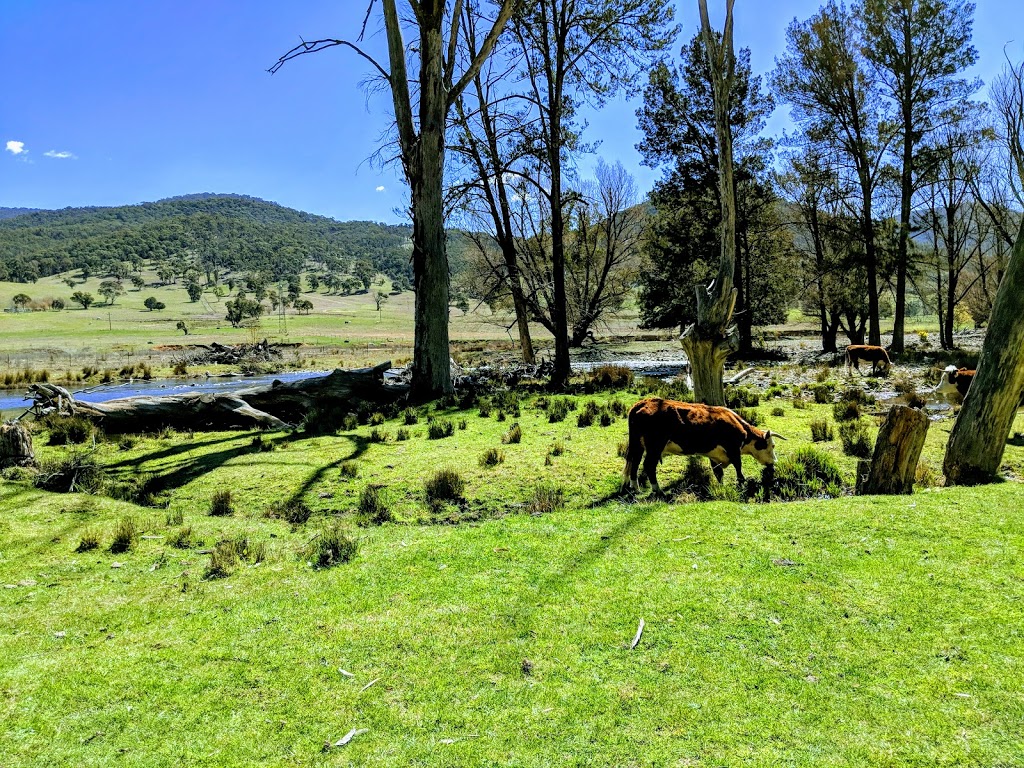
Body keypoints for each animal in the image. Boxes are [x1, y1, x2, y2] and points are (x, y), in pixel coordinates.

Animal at [614, 399, 782, 495]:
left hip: (638, 444)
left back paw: (635, 488)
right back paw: (658, 490)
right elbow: (739, 469)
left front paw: (721, 487)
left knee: (634, 463)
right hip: (655, 445)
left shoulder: (715, 455)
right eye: (772, 445)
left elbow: (718, 473)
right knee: (649, 465)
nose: (774, 462)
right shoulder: (733, 450)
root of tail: (641, 404)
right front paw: (741, 485)